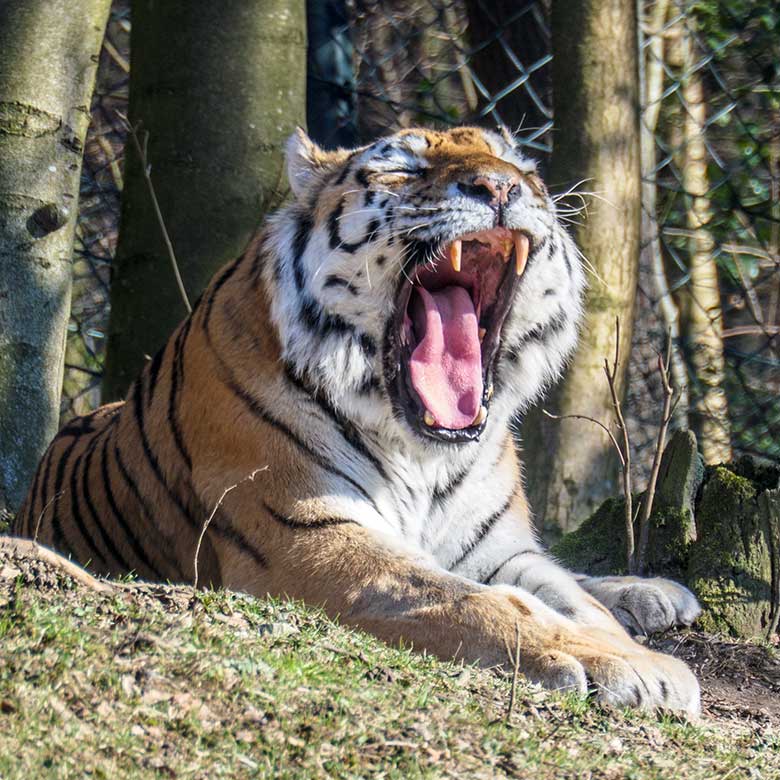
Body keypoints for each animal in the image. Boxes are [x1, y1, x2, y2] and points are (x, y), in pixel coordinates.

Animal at [10, 126, 700, 712]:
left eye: (521, 168)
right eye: (403, 167)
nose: (501, 187)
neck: (423, 450)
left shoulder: (500, 550)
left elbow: (570, 598)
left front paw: (634, 648)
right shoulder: (312, 534)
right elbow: (483, 602)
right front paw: (634, 666)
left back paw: (657, 594)